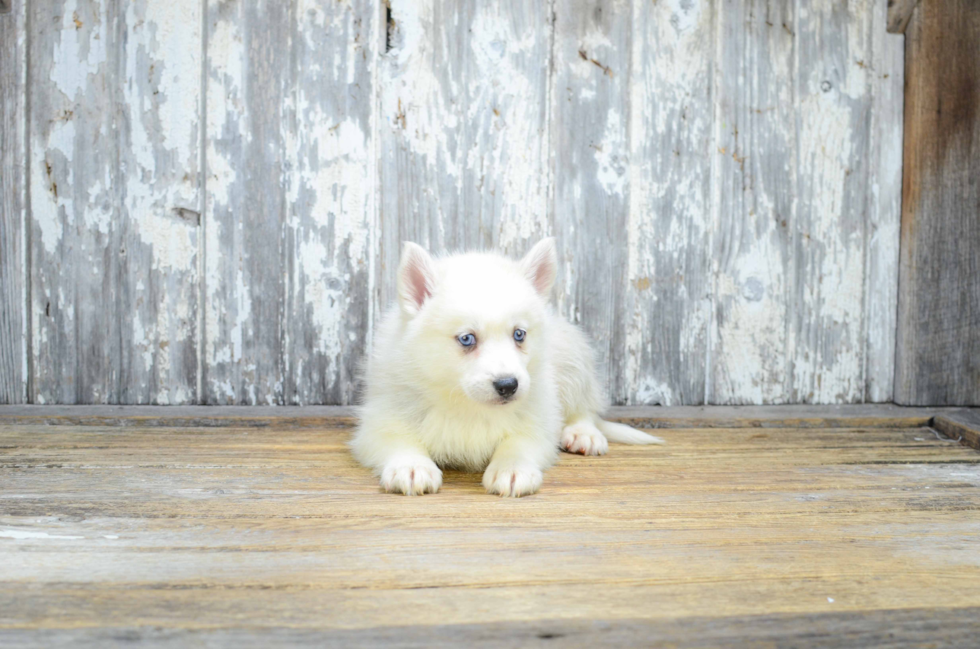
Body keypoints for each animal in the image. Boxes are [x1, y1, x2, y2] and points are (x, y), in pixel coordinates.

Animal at [348, 238, 664, 496]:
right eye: (467, 338)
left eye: (519, 334)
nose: (508, 386)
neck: (467, 404)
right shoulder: (382, 417)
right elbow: (398, 440)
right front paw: (412, 466)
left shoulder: (539, 416)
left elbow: (519, 442)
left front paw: (512, 469)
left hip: (573, 358)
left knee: (585, 406)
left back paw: (582, 433)